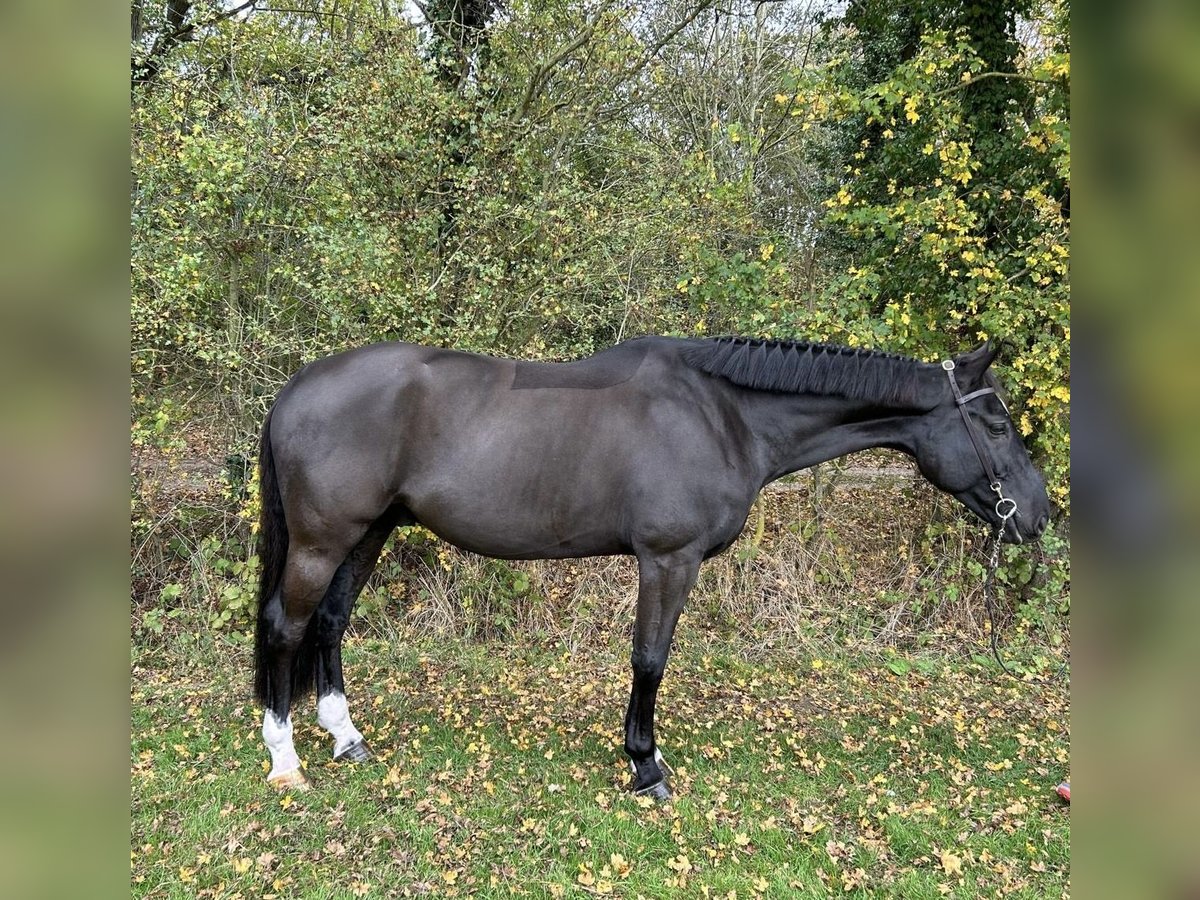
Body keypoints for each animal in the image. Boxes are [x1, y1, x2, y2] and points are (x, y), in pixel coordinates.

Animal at [253, 336, 1051, 796]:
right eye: (996, 423)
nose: (1039, 513)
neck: (723, 415)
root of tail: (296, 390)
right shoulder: (669, 560)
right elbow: (650, 660)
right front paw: (645, 765)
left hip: (371, 531)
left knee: (330, 621)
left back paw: (346, 737)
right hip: (325, 539)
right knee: (286, 626)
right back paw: (286, 759)